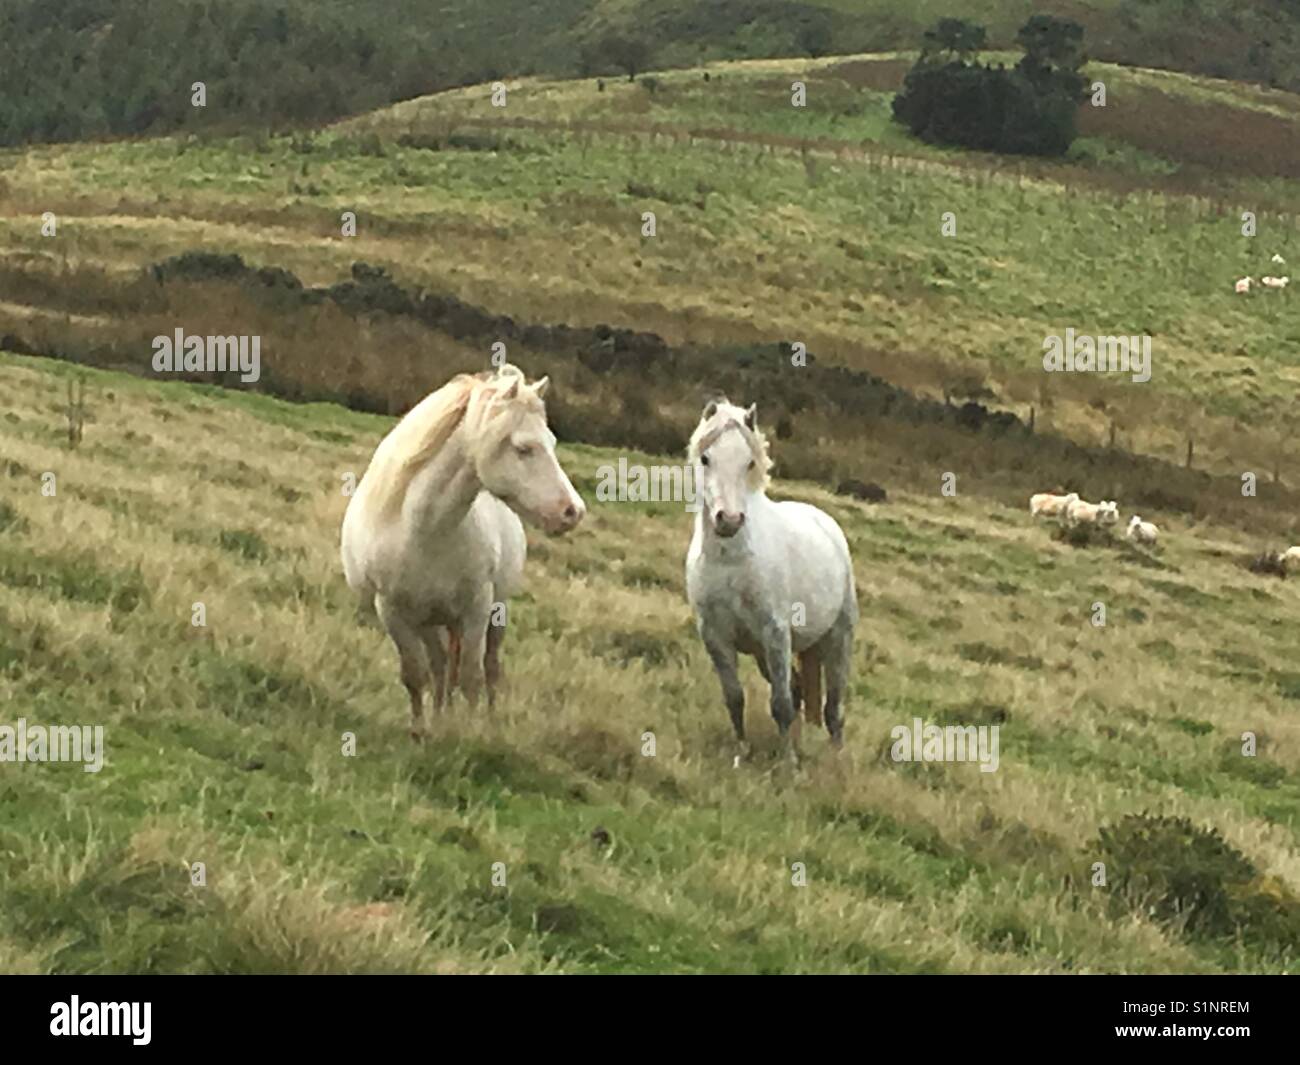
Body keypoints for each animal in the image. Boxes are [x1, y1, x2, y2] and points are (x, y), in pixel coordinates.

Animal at [340, 365, 585, 735]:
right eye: (523, 448)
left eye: (553, 443)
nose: (573, 511)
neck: (421, 529)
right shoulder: (393, 613)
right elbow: (416, 675)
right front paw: (421, 730)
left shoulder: (477, 609)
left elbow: (472, 675)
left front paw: (474, 733)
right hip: (431, 621)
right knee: (441, 666)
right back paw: (441, 714)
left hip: (492, 612)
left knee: (489, 667)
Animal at [685, 398, 858, 763]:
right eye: (706, 458)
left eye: (749, 461)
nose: (729, 520)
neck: (731, 561)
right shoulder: (715, 638)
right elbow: (735, 698)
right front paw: (741, 752)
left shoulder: (776, 634)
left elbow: (781, 705)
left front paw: (788, 764)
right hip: (766, 653)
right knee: (798, 689)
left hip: (838, 639)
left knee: (833, 708)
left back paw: (835, 759)